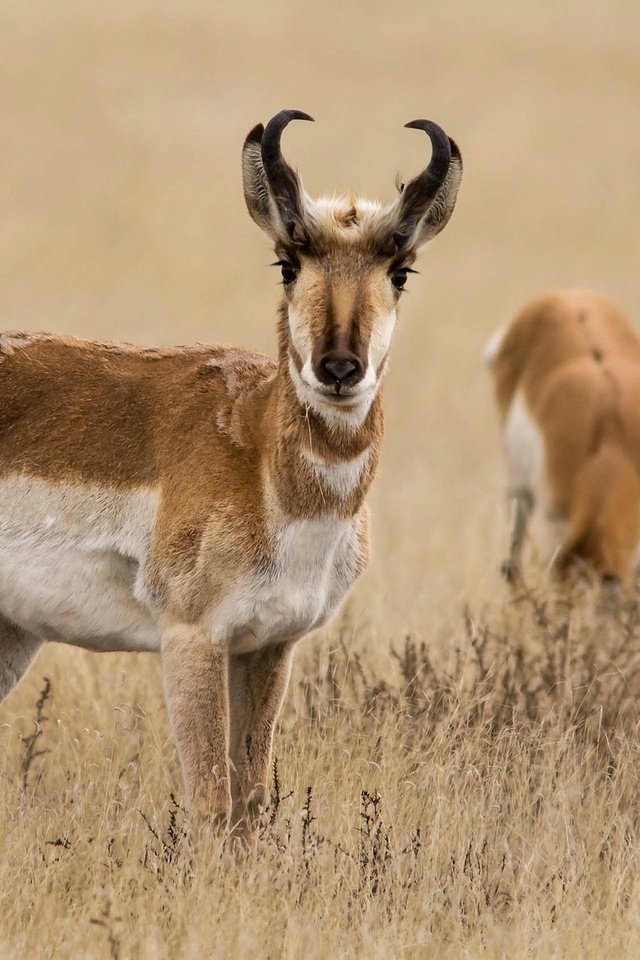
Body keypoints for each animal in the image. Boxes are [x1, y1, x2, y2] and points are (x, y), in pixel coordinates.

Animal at [0, 110, 460, 832]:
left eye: (402, 270)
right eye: (287, 262)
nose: (338, 368)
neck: (256, 451)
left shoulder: (268, 647)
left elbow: (250, 802)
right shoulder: (193, 640)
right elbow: (213, 803)